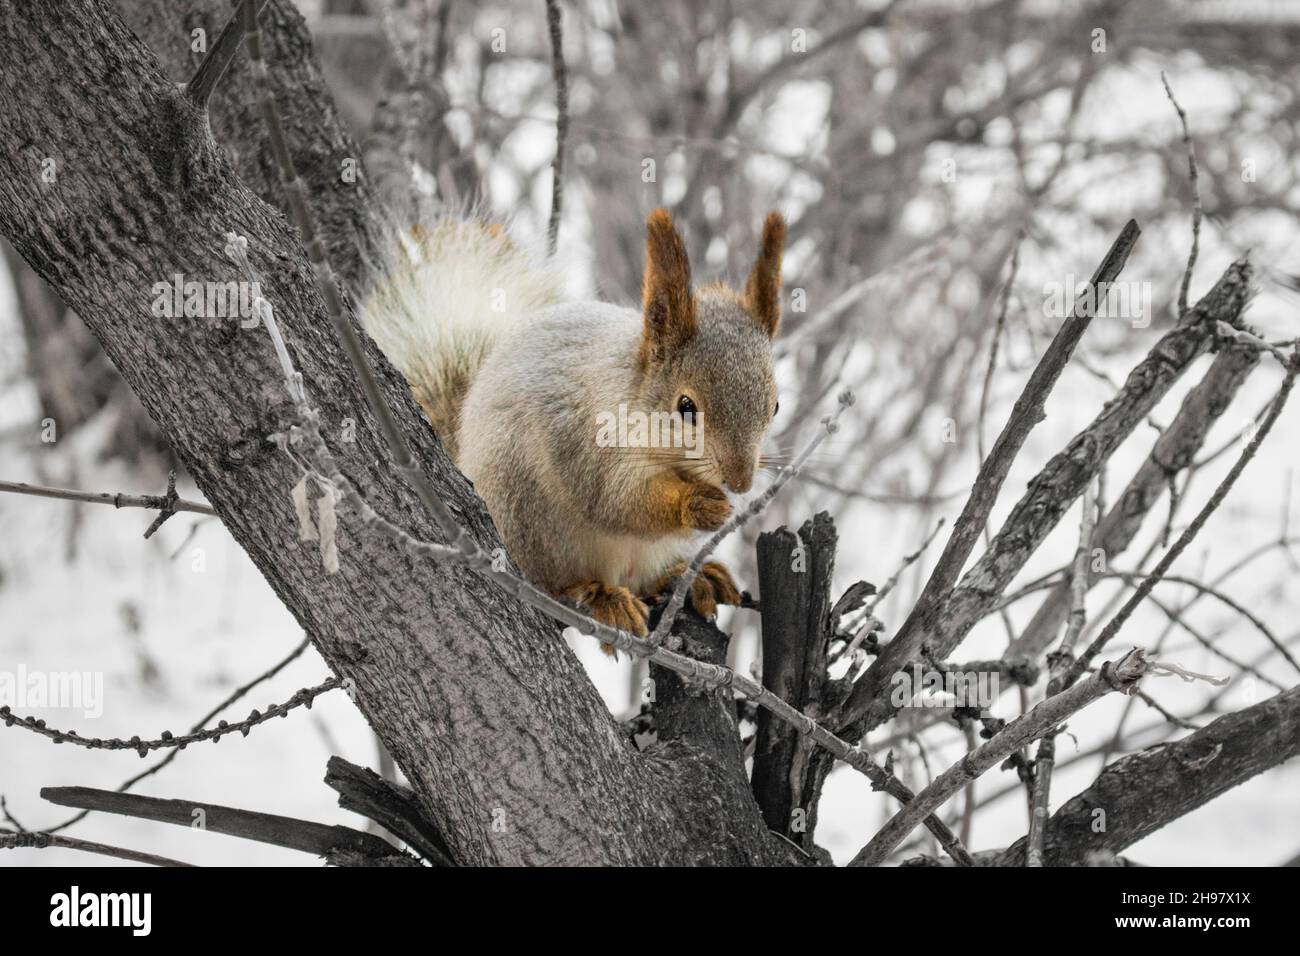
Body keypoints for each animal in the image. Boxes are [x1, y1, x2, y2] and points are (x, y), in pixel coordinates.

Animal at [361, 207, 786, 645]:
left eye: (775, 406)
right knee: (559, 580)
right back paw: (598, 595)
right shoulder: (585, 444)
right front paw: (698, 504)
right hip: (531, 520)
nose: (740, 482)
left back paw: (691, 577)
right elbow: (616, 501)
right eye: (686, 406)